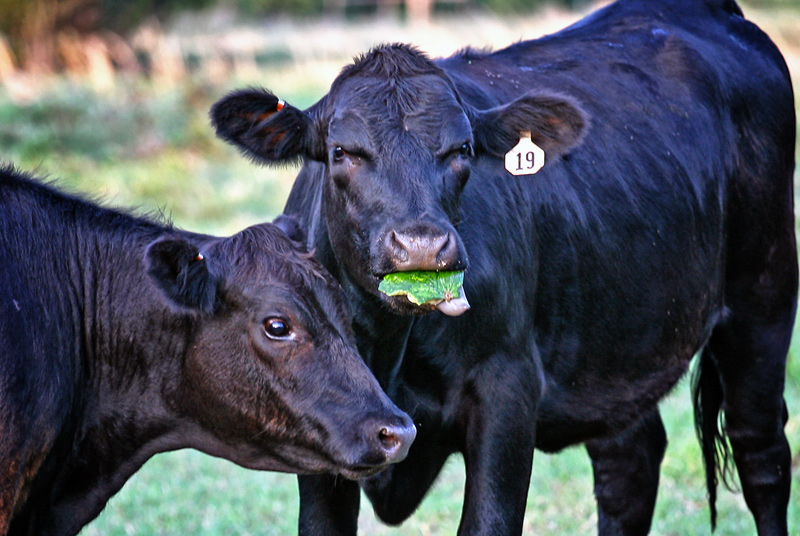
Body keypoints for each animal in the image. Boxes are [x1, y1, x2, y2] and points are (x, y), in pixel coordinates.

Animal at [209, 0, 796, 532]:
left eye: (463, 149)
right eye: (342, 152)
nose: (421, 247)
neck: (387, 348)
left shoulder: (507, 392)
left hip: (763, 296)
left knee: (760, 453)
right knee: (629, 465)